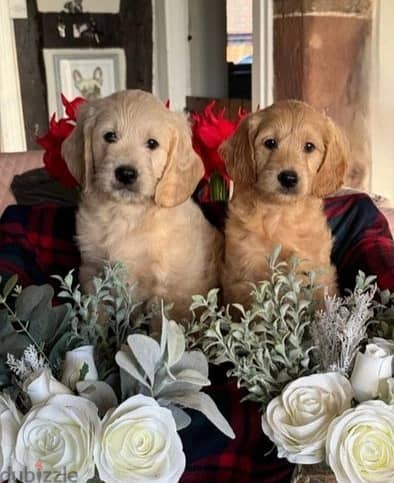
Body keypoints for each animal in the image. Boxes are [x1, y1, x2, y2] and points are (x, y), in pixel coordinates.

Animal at [61, 89, 222, 324]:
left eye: (152, 143)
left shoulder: (165, 289)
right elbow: (96, 317)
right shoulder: (93, 271)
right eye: (110, 136)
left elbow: (159, 327)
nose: (126, 173)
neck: (126, 214)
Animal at [220, 99, 350, 306]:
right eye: (270, 143)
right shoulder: (244, 270)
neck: (280, 213)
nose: (288, 178)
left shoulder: (315, 269)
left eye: (309, 146)